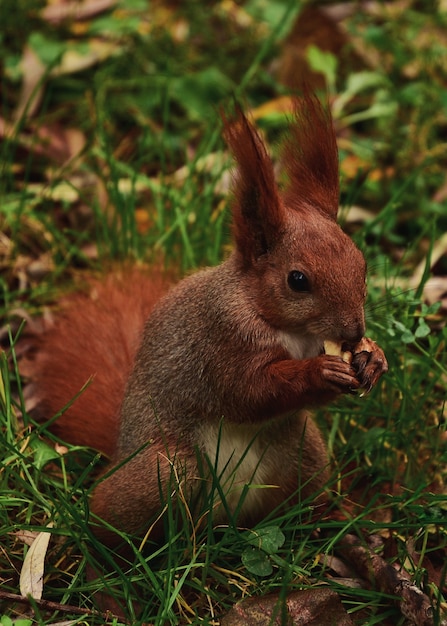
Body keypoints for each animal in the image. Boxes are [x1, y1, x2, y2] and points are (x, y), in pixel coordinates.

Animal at [24, 92, 388, 544]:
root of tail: (223, 521)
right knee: (109, 516)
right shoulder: (219, 340)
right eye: (297, 280)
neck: (287, 329)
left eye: (361, 263)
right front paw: (319, 372)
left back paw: (330, 522)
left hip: (306, 453)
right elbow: (248, 391)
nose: (355, 330)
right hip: (166, 470)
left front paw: (373, 358)